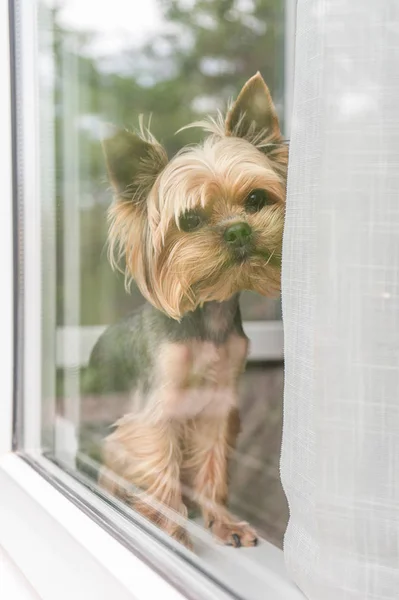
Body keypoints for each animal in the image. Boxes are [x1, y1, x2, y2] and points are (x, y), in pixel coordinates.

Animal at [86, 74, 288, 548]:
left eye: (255, 199)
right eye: (191, 220)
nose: (238, 230)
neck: (208, 315)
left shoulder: (218, 403)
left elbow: (213, 462)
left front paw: (223, 523)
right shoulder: (158, 404)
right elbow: (161, 462)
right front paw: (168, 528)